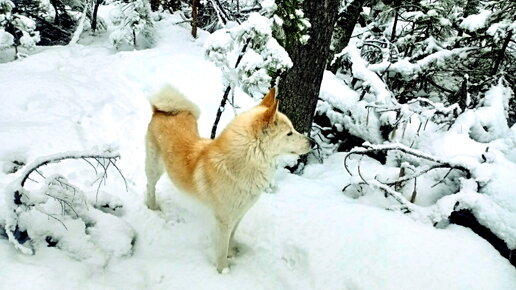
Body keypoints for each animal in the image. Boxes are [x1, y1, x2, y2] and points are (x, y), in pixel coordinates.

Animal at [146, 85, 314, 272]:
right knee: (150, 186)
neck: (245, 164)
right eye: (289, 133)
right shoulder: (223, 220)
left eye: (293, 130)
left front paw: (231, 254)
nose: (313, 142)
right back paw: (152, 206)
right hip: (154, 168)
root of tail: (161, 111)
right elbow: (221, 250)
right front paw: (223, 271)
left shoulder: (239, 214)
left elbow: (231, 239)